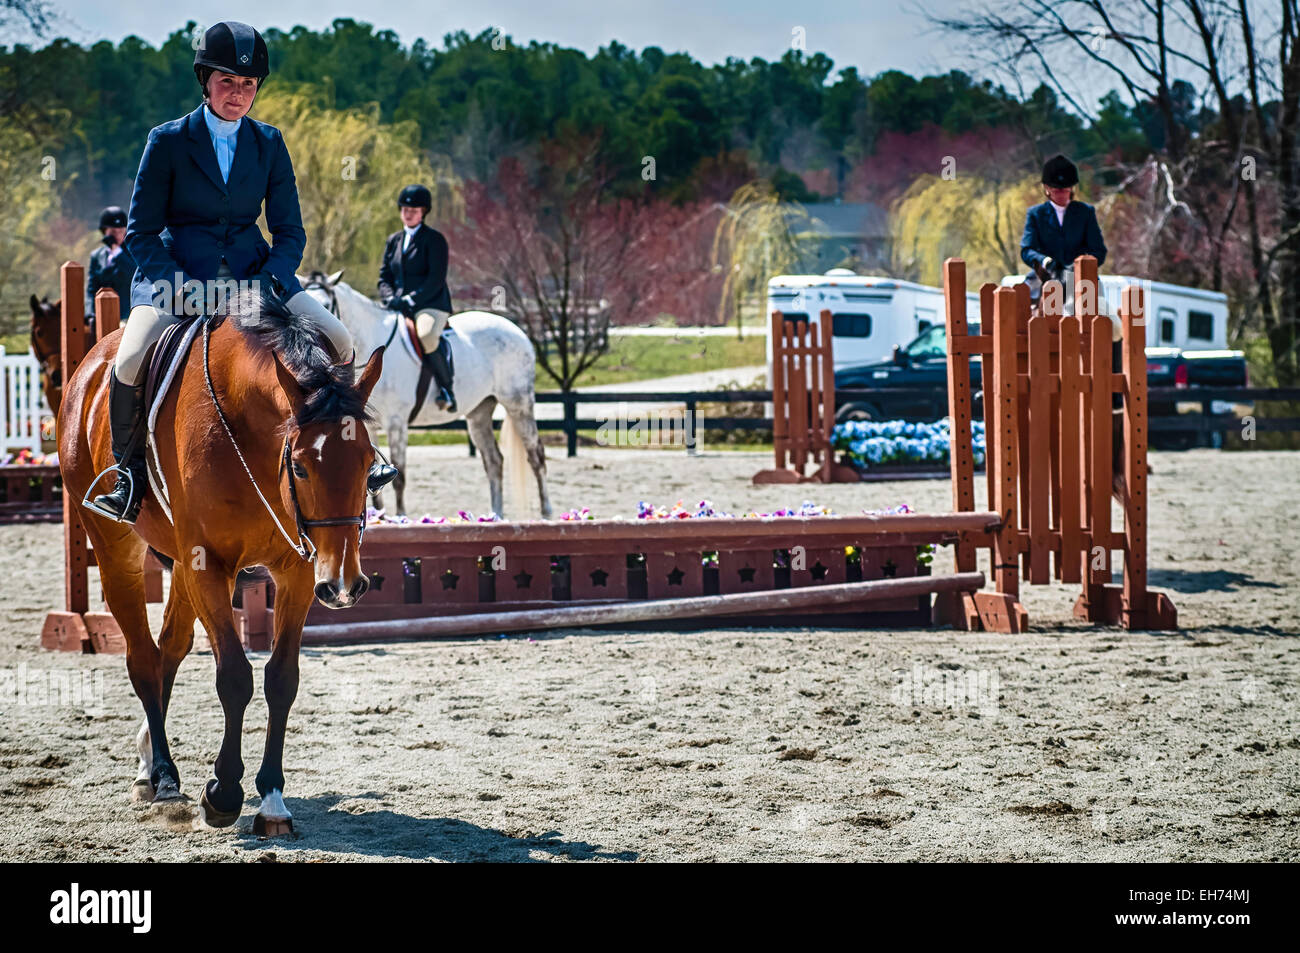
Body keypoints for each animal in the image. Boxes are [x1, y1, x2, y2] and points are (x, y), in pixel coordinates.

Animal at [58, 283, 383, 833]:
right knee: (142, 658)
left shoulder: (296, 571)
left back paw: (148, 761)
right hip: (116, 547)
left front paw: (272, 800)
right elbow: (234, 676)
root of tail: (91, 365)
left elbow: (281, 678)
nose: (343, 586)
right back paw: (164, 778)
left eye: (366, 463)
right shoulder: (207, 563)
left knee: (168, 649)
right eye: (300, 466)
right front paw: (224, 793)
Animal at [299, 270, 552, 520]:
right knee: (494, 461)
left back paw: (546, 514)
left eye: (325, 306)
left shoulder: (396, 423)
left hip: (518, 404)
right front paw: (378, 516)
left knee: (535, 456)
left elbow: (399, 476)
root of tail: (517, 330)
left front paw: (400, 518)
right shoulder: (365, 425)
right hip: (479, 413)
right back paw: (495, 516)